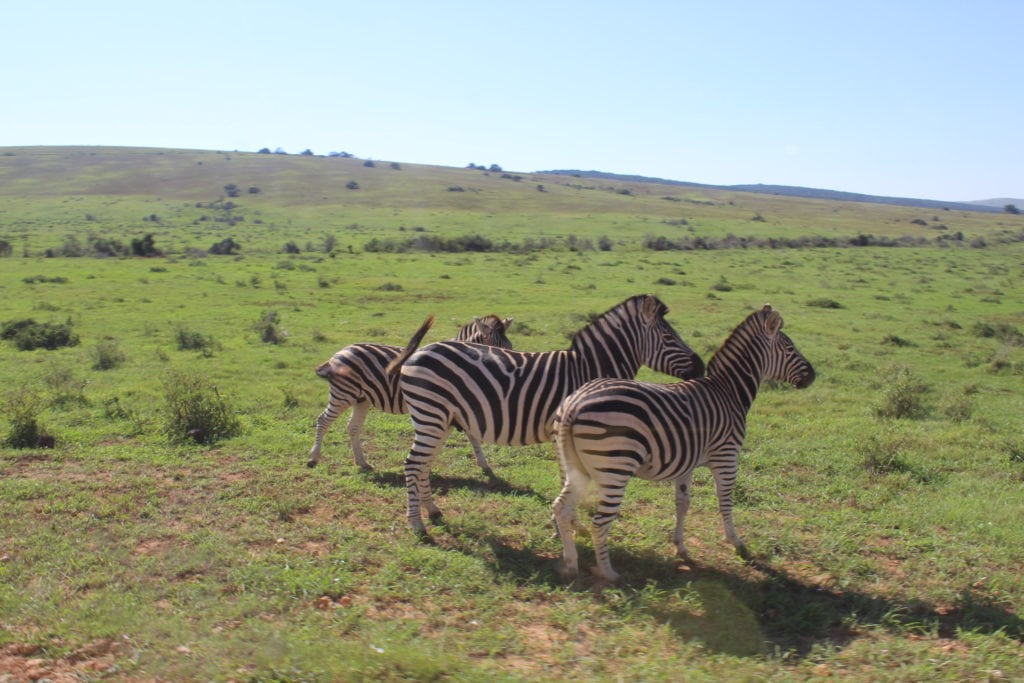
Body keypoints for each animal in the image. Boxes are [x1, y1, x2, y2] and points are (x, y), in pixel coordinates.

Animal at [303, 313, 512, 471]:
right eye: (497, 349)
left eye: (509, 347)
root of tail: (338, 353)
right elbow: (472, 435)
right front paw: (484, 464)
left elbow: (472, 435)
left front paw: (484, 464)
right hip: (343, 393)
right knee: (323, 420)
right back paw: (313, 458)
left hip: (361, 398)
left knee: (353, 427)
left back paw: (362, 463)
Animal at [387, 294, 708, 532]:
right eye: (668, 337)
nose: (701, 366)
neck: (588, 370)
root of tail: (420, 350)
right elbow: (570, 479)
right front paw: (567, 525)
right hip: (431, 415)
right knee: (414, 464)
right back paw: (416, 523)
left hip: (438, 419)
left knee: (423, 465)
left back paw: (433, 510)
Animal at [557, 305, 811, 581]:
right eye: (790, 348)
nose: (813, 375)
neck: (729, 392)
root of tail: (575, 403)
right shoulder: (727, 457)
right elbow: (725, 501)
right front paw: (736, 542)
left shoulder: (686, 463)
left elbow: (682, 504)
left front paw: (680, 546)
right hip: (616, 467)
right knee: (599, 522)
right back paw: (608, 573)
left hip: (578, 467)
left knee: (562, 509)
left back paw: (570, 564)